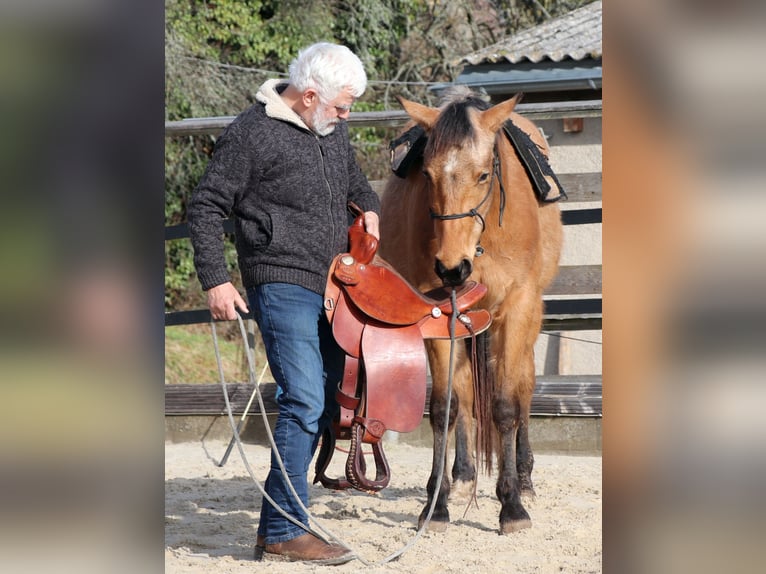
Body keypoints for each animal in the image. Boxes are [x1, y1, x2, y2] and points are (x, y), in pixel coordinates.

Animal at [379, 87, 564, 534]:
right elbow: (445, 406)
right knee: (463, 392)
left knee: (524, 385)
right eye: (427, 176)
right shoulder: (437, 315)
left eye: (482, 175)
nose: (451, 267)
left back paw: (524, 478)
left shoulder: (517, 308)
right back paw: (462, 477)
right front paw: (438, 504)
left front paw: (512, 505)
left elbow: (506, 406)